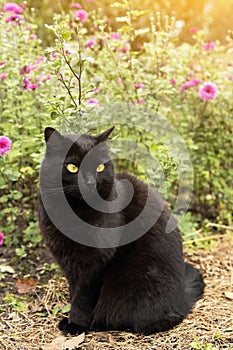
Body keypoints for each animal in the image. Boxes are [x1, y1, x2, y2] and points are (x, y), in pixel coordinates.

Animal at [39, 126, 205, 336]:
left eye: (100, 167)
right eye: (72, 167)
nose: (90, 182)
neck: (73, 212)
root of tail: (182, 299)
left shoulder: (95, 264)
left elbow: (83, 297)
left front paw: (76, 324)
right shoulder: (69, 263)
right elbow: (74, 291)